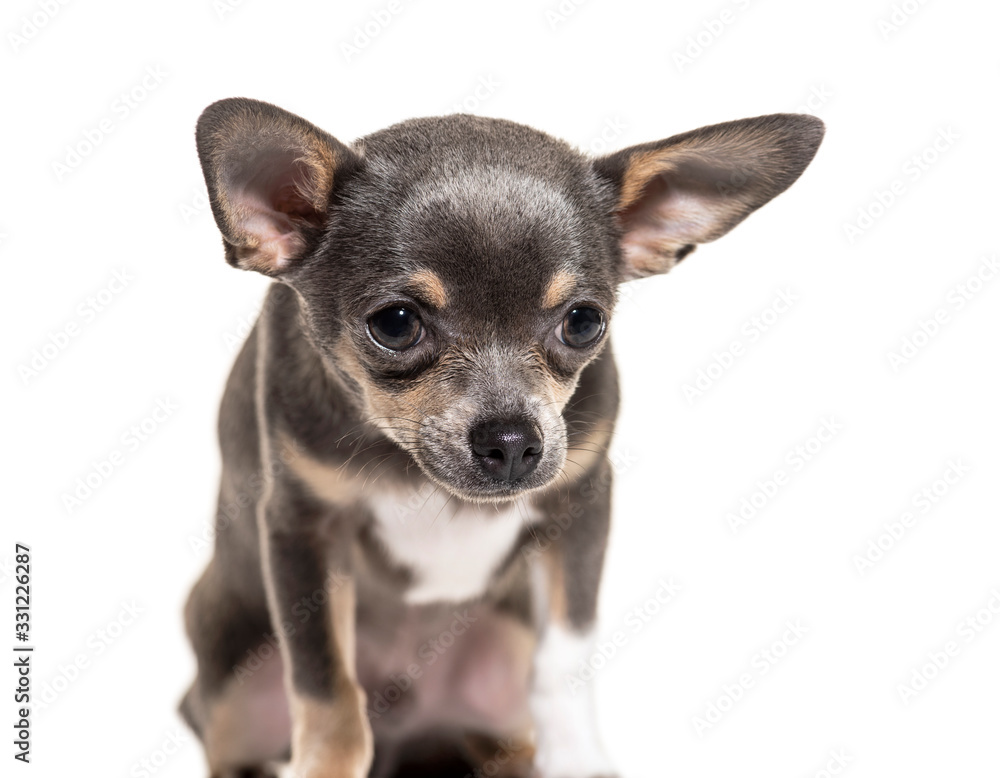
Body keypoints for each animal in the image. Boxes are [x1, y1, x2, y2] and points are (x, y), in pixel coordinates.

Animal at [180, 97, 820, 776]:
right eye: (395, 324)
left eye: (584, 322)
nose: (512, 441)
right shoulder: (304, 529)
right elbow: (326, 685)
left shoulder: (578, 507)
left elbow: (564, 661)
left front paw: (579, 761)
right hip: (234, 681)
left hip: (500, 652)